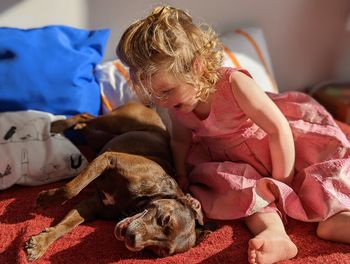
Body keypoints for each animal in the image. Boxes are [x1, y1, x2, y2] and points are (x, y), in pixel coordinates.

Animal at [25, 102, 202, 260]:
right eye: (165, 219)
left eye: (159, 252)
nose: (133, 241)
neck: (136, 202)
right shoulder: (108, 159)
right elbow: (70, 190)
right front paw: (45, 200)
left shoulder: (91, 206)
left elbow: (66, 225)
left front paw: (40, 243)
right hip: (113, 121)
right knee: (86, 115)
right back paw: (57, 125)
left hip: (98, 137)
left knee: (87, 122)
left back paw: (76, 127)